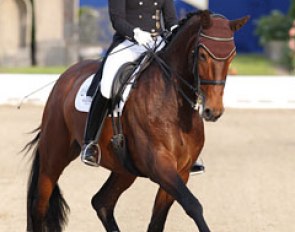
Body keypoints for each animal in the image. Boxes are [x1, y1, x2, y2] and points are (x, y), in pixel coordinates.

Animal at [24, 10, 250, 232]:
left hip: (124, 168)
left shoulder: (181, 171)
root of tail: (66, 76)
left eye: (232, 55)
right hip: (54, 157)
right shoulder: (160, 165)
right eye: (202, 55)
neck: (172, 102)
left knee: (102, 202)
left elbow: (157, 222)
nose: (213, 111)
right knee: (39, 205)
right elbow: (193, 205)